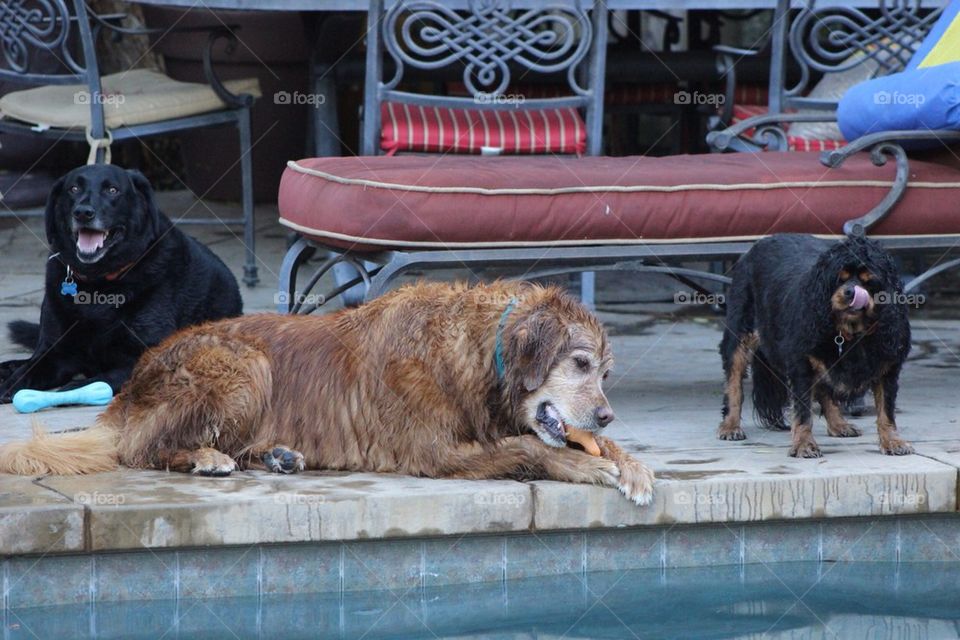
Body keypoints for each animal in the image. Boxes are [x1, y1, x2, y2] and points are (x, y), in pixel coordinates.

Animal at [0, 164, 240, 400]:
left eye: (112, 190)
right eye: (74, 189)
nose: (83, 212)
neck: (97, 284)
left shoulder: (149, 356)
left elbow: (104, 378)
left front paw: (75, 388)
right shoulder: (56, 351)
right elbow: (32, 367)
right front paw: (12, 382)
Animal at [0, 282, 652, 508]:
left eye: (606, 372)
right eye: (580, 363)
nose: (608, 414)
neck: (475, 351)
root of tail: (129, 386)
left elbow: (565, 442)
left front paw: (631, 465)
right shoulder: (434, 453)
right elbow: (534, 448)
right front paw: (591, 467)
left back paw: (277, 455)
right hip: (244, 365)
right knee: (142, 449)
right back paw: (206, 458)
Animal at [716, 232, 912, 458]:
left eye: (869, 281)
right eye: (839, 278)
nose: (850, 292)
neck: (851, 332)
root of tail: (762, 241)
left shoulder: (887, 366)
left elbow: (886, 409)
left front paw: (892, 441)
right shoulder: (801, 364)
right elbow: (802, 412)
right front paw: (804, 444)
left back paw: (838, 424)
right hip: (740, 331)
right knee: (734, 381)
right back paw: (730, 426)